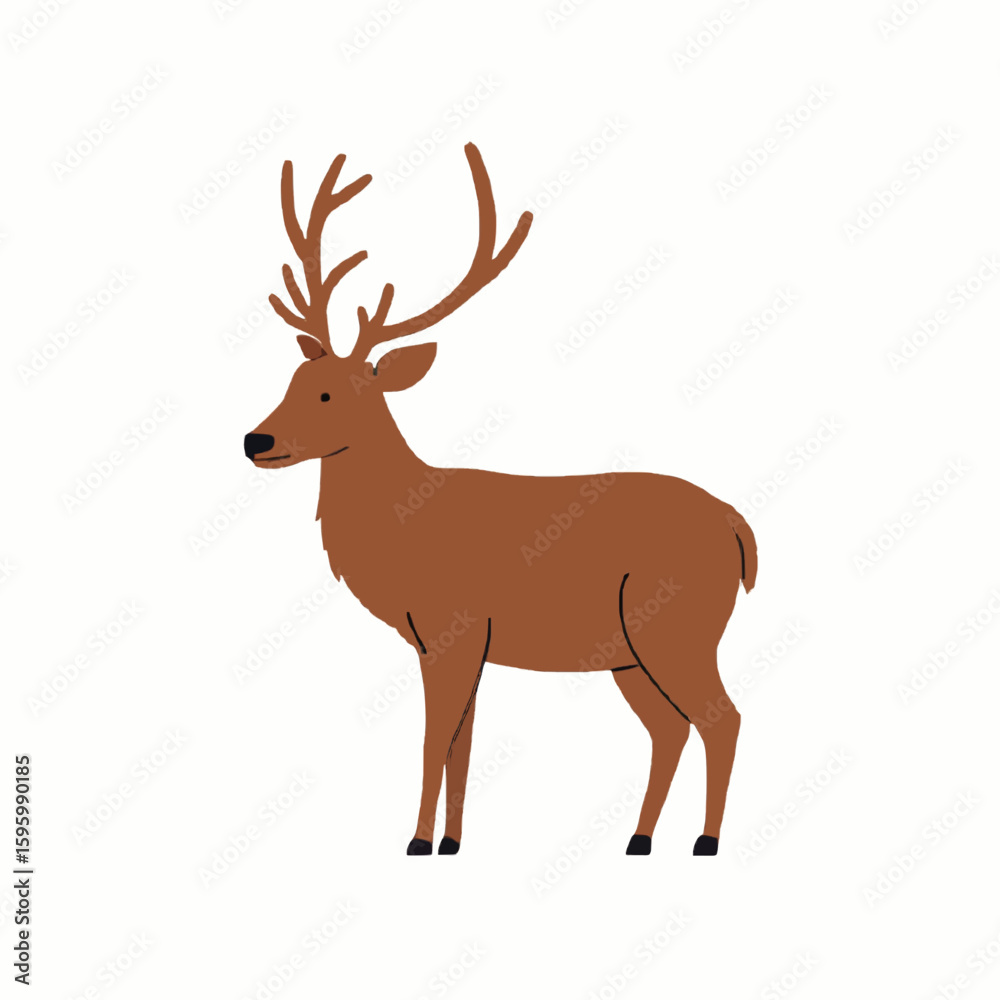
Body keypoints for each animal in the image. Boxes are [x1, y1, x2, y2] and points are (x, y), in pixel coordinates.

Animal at [244, 142, 757, 857]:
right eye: (293, 378)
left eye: (330, 393)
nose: (255, 439)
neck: (402, 530)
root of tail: (740, 528)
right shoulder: (457, 642)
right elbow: (462, 742)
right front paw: (451, 843)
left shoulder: (452, 626)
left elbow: (434, 741)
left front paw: (416, 841)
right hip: (630, 651)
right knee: (671, 727)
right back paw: (639, 839)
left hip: (678, 624)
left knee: (723, 717)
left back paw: (704, 842)